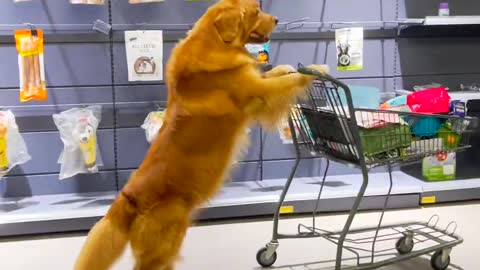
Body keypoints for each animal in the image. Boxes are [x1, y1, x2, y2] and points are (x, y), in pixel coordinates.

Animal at [74, 0, 330, 270]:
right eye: (256, 11)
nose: (277, 19)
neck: (215, 42)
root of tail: (126, 198)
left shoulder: (255, 83)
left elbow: (278, 72)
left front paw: (286, 66)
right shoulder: (259, 92)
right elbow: (288, 80)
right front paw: (316, 69)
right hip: (165, 241)